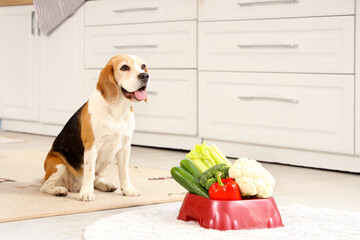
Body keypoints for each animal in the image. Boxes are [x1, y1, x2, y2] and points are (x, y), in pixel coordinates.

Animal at [40, 54, 149, 201]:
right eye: (124, 67)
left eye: (143, 66)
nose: (145, 76)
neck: (117, 111)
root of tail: (73, 186)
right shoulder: (92, 146)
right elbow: (89, 172)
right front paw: (86, 193)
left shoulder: (125, 147)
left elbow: (124, 172)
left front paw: (128, 190)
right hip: (58, 165)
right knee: (46, 185)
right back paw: (58, 190)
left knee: (98, 179)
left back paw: (104, 184)